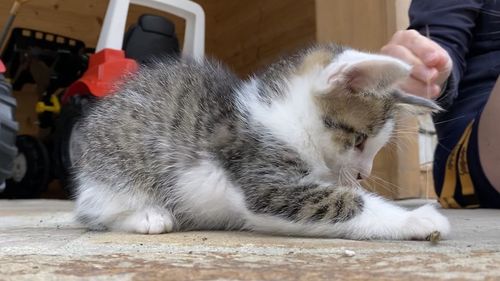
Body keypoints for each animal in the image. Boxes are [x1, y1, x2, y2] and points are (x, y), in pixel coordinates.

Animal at [73, 43, 450, 238]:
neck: (287, 119)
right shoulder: (262, 178)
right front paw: (418, 219)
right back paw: (148, 216)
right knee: (94, 212)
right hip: (117, 169)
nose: (363, 174)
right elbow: (340, 202)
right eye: (359, 140)